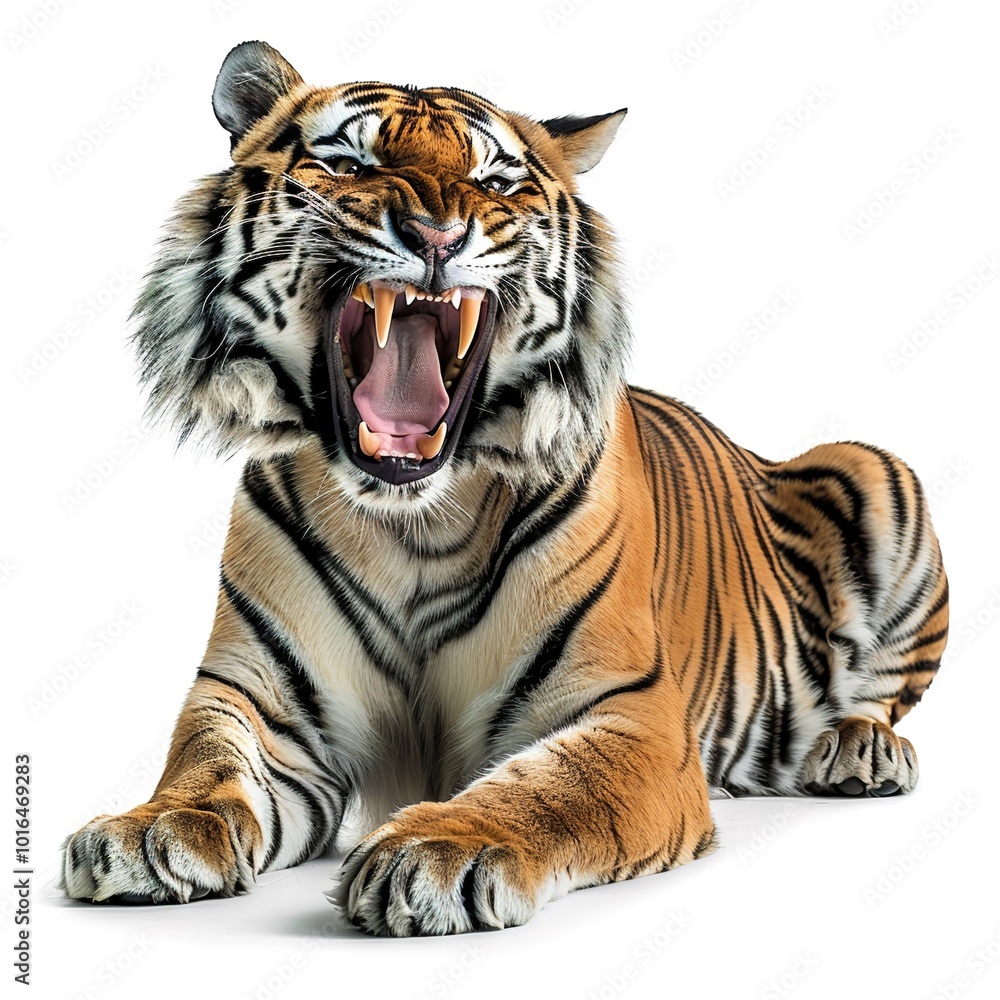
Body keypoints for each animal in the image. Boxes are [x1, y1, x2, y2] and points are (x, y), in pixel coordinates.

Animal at [59, 41, 949, 936]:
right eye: (348, 164)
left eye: (494, 182)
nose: (436, 234)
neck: (414, 525)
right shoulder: (263, 702)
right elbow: (207, 761)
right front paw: (150, 830)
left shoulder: (627, 711)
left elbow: (552, 789)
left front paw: (438, 849)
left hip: (876, 471)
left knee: (880, 692)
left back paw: (858, 749)